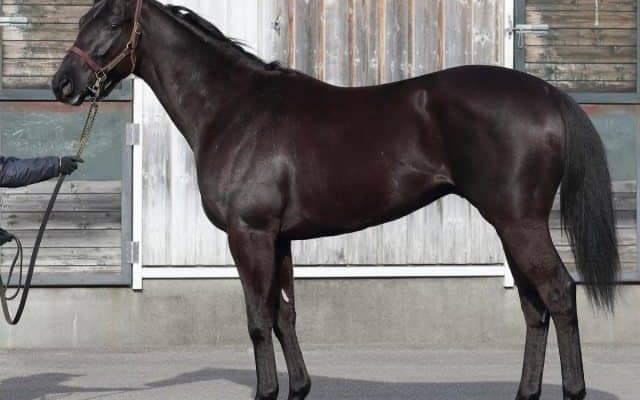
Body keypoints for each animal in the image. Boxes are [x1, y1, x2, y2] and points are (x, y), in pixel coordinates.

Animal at [52, 1, 619, 399]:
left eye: (111, 22)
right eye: (81, 17)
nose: (63, 84)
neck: (234, 110)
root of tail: (546, 94)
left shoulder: (249, 235)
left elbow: (258, 319)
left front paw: (267, 390)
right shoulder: (278, 239)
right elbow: (284, 315)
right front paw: (298, 387)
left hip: (520, 223)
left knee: (558, 294)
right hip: (510, 225)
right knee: (534, 307)